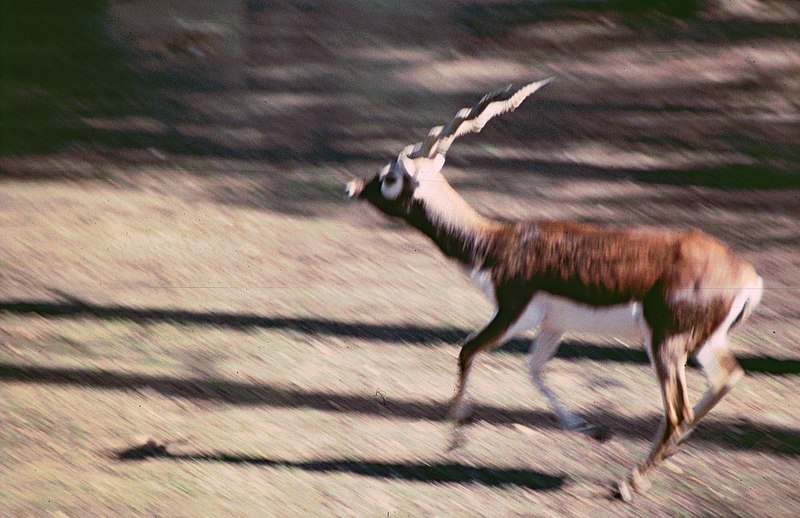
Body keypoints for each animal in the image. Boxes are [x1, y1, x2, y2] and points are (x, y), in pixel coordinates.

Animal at [342, 81, 764, 504]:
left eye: (390, 177)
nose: (351, 187)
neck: (497, 243)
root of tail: (746, 275)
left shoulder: (512, 312)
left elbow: (467, 350)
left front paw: (455, 436)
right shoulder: (553, 325)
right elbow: (535, 370)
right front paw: (591, 429)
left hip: (666, 343)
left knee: (680, 412)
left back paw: (627, 484)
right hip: (703, 342)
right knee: (727, 377)